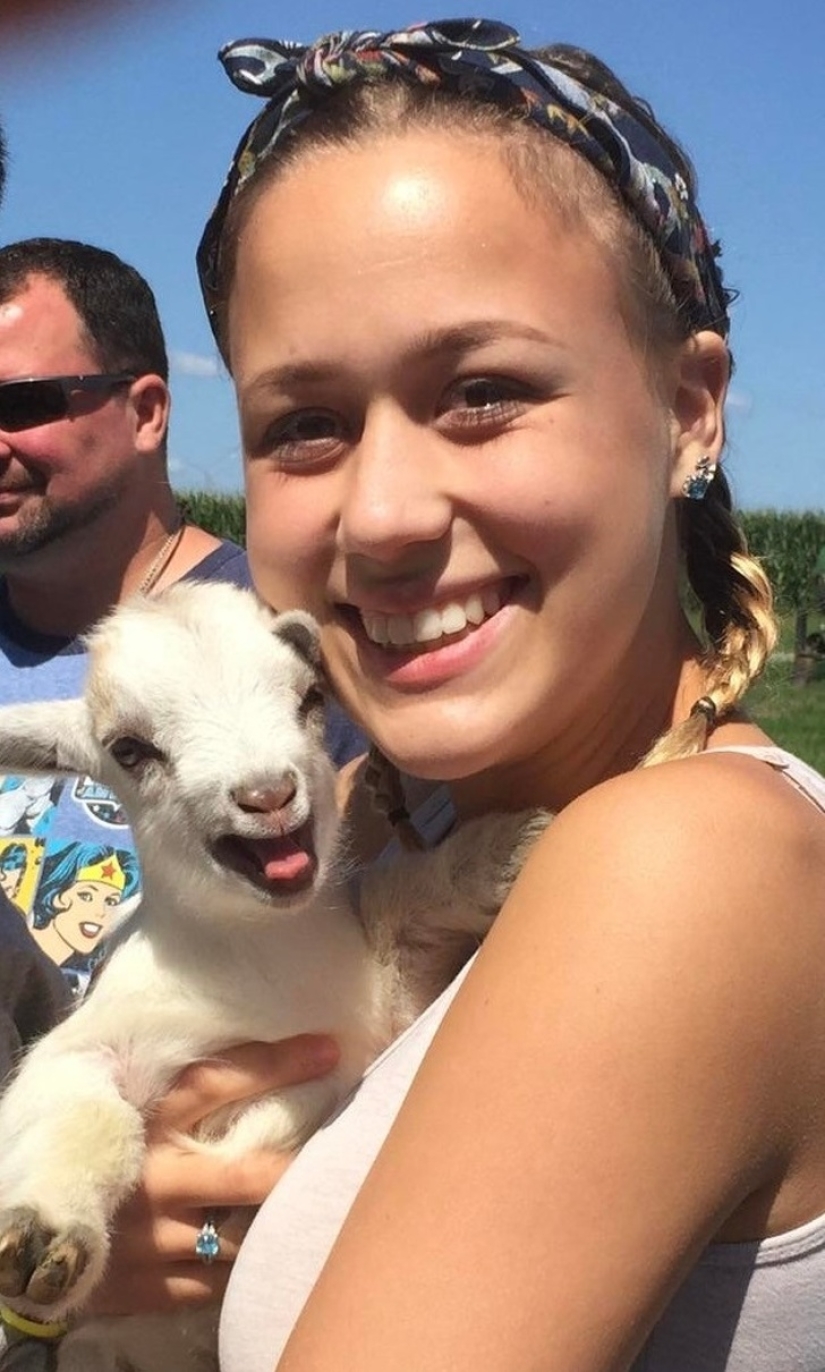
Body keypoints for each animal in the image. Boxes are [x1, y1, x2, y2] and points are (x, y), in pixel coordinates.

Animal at [0, 581, 547, 1372]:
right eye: (129, 749)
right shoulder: (91, 1044)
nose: (266, 794)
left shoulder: (382, 1011)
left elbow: (405, 904)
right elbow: (84, 1112)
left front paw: (506, 847)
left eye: (310, 698)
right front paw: (43, 1240)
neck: (260, 964)